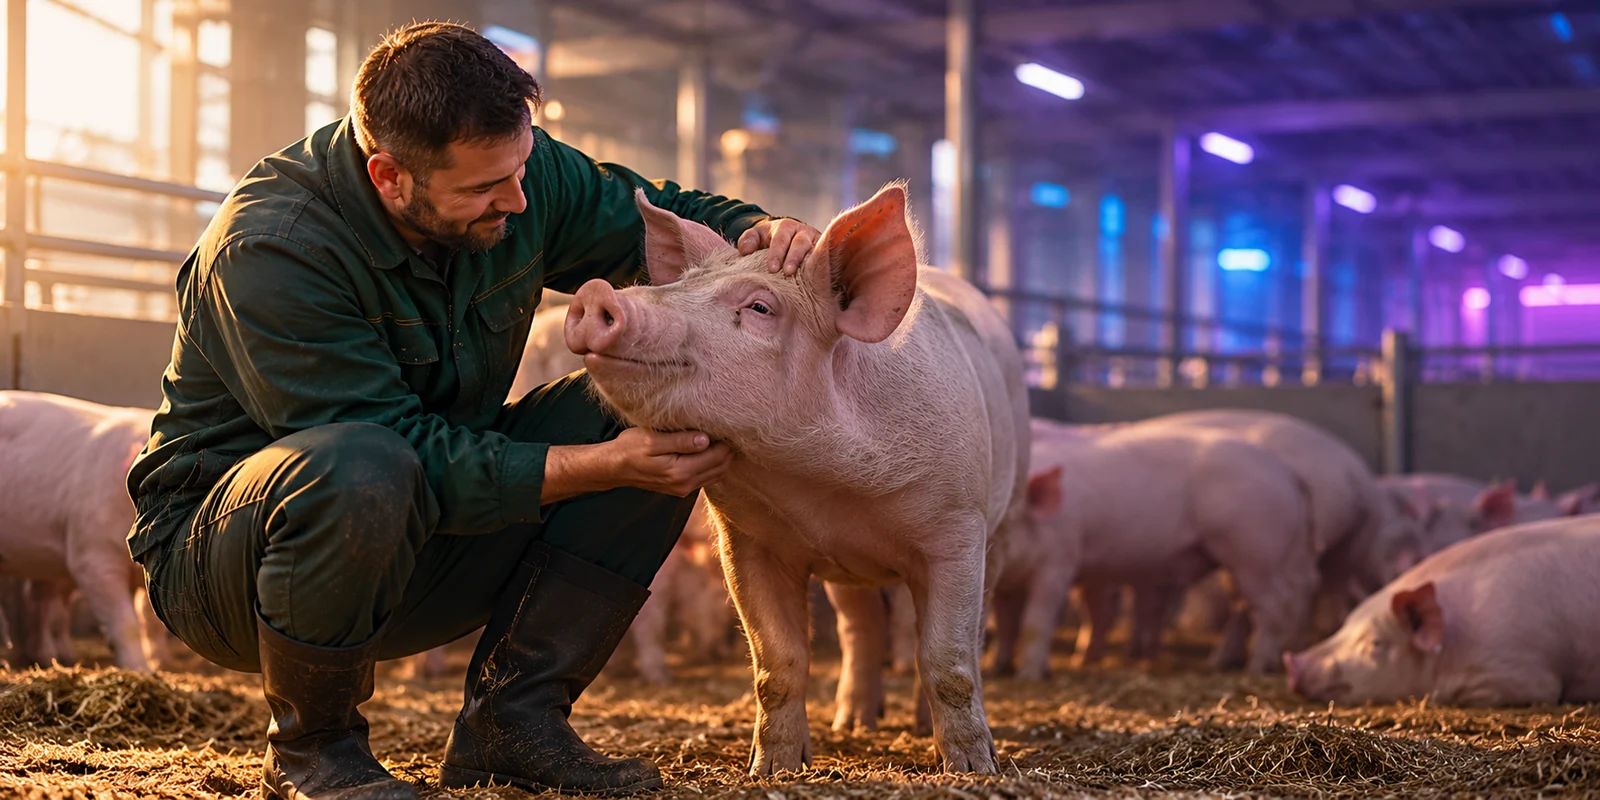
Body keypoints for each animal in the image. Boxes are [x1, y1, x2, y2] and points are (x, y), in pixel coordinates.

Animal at [0, 391, 171, 671]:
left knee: (41, 602)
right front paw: (140, 671)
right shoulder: (91, 555)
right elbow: (127, 623)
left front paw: (160, 665)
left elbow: (152, 620)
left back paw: (51, 658)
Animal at [565, 184, 1029, 774]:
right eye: (682, 284)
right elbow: (777, 663)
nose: (597, 293)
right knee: (859, 628)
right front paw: (771, 769)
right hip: (850, 575)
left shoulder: (958, 528)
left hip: (1004, 519)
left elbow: (946, 657)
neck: (822, 488)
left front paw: (970, 769)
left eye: (760, 307)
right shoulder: (746, 540)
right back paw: (853, 723)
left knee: (965, 632)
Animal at [996, 418, 1318, 678]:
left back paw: (1255, 668)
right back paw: (1230, 663)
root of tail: (1287, 470)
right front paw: (1002, 667)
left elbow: (1036, 620)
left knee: (1274, 606)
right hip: (1259, 558)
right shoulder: (1009, 584)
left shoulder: (1060, 561)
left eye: (1005, 525)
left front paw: (1029, 676)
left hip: (1254, 551)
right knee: (1261, 605)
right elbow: (1006, 623)